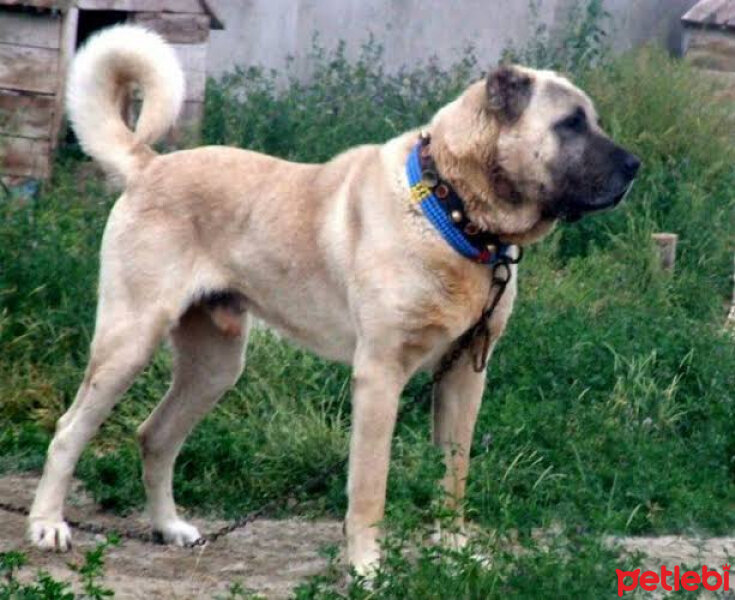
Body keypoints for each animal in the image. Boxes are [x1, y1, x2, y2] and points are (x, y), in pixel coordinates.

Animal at [27, 25, 640, 576]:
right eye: (570, 123)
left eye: (591, 120)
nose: (635, 166)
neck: (453, 209)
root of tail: (150, 164)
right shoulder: (380, 377)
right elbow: (370, 486)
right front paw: (367, 568)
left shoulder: (465, 375)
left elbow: (453, 476)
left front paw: (456, 552)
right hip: (129, 342)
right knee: (69, 430)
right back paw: (47, 525)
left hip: (216, 365)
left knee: (154, 436)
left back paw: (168, 527)